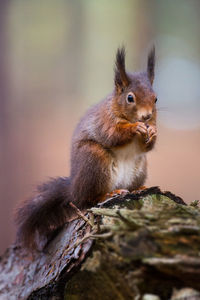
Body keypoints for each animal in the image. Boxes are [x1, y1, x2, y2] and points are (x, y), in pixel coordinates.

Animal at [15, 46, 156, 248]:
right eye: (130, 98)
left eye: (156, 99)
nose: (146, 116)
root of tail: (74, 190)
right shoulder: (104, 122)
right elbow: (113, 136)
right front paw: (134, 128)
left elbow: (147, 147)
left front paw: (152, 132)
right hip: (95, 161)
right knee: (89, 199)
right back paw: (108, 194)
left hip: (139, 167)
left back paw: (138, 189)